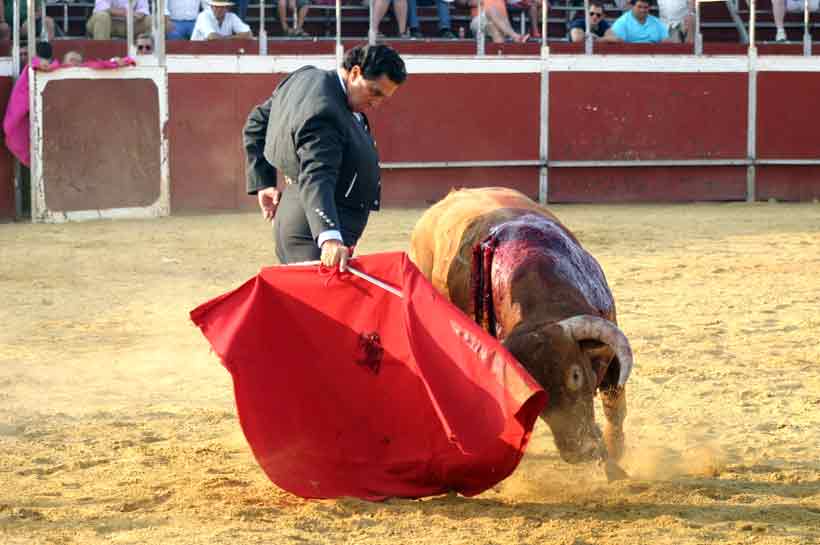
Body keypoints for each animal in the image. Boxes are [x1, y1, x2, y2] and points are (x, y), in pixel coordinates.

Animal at [410, 188, 636, 480]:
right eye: (538, 395)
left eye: (575, 375)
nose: (579, 452)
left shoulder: (610, 353)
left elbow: (615, 408)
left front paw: (615, 460)